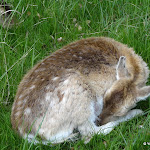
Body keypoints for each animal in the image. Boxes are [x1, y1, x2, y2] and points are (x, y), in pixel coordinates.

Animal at [11, 36, 150, 144]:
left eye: (119, 112)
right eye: (104, 99)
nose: (100, 119)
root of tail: (27, 133)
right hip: (80, 97)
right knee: (89, 134)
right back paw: (134, 114)